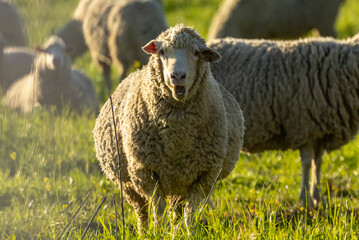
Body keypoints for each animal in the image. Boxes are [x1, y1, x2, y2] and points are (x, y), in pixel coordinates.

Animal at [93, 24, 246, 232]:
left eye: (196, 52)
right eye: (163, 52)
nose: (178, 76)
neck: (177, 137)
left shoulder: (205, 176)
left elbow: (190, 215)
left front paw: (190, 234)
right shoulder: (145, 172)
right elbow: (158, 210)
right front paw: (157, 232)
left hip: (180, 181)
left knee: (177, 212)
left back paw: (174, 232)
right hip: (128, 183)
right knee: (142, 211)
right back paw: (144, 232)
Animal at [208, 34, 359, 207]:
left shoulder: (319, 133)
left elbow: (318, 163)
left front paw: (319, 197)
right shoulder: (304, 127)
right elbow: (307, 163)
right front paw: (305, 199)